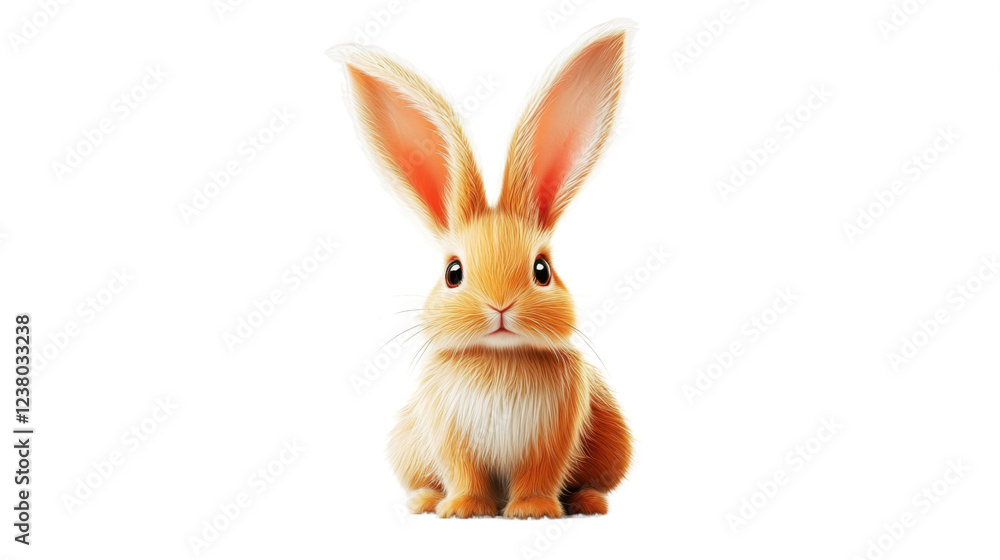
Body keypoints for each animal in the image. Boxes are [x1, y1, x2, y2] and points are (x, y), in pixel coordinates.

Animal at [328, 19, 634, 519]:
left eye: (542, 270)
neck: (499, 358)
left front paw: (532, 510)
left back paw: (588, 502)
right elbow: (464, 472)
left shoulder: (553, 438)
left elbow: (539, 475)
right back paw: (425, 501)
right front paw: (464, 509)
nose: (500, 306)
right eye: (453, 273)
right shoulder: (449, 434)